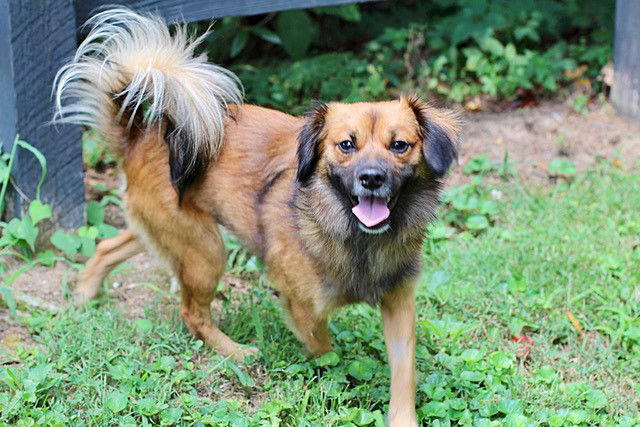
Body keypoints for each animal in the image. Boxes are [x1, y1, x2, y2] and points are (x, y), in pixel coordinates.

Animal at [52, 8, 458, 426]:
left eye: (400, 145)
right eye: (346, 145)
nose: (372, 178)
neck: (353, 234)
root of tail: (139, 140)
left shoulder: (399, 303)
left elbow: (404, 373)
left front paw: (402, 417)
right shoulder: (303, 306)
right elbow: (325, 351)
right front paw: (335, 380)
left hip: (164, 229)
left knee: (107, 246)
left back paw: (83, 294)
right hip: (205, 251)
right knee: (192, 313)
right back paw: (235, 351)